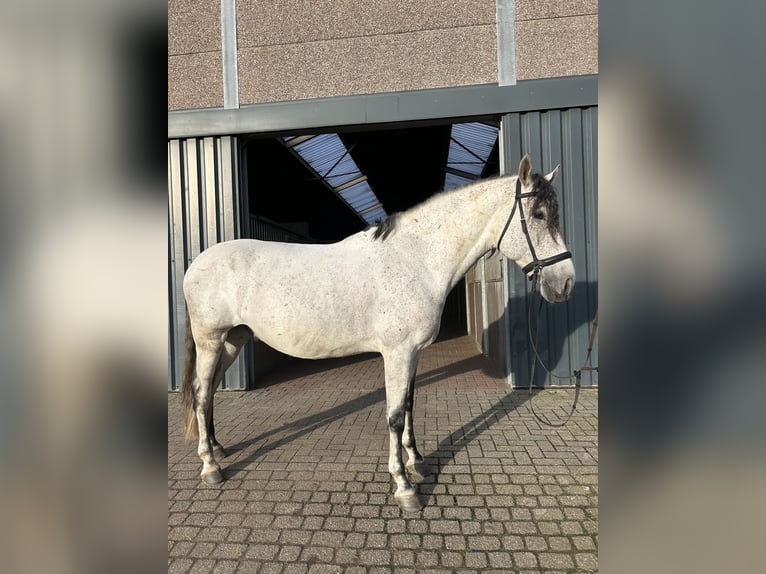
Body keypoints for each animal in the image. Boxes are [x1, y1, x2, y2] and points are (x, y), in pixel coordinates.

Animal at [181, 154, 575, 512]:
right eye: (539, 215)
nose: (565, 283)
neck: (417, 259)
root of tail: (196, 263)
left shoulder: (413, 353)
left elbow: (410, 406)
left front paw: (418, 462)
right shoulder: (397, 353)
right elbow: (395, 415)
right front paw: (404, 486)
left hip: (234, 339)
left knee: (209, 391)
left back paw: (218, 448)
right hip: (211, 340)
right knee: (201, 393)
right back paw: (210, 466)